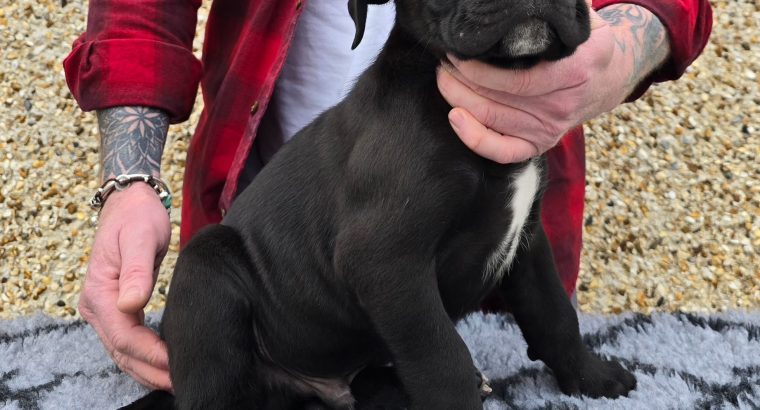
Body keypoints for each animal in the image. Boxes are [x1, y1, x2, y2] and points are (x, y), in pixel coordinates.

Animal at [126, 1, 636, 408]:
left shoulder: (527, 239)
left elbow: (555, 314)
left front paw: (592, 378)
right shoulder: (387, 262)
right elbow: (442, 359)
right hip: (207, 269)